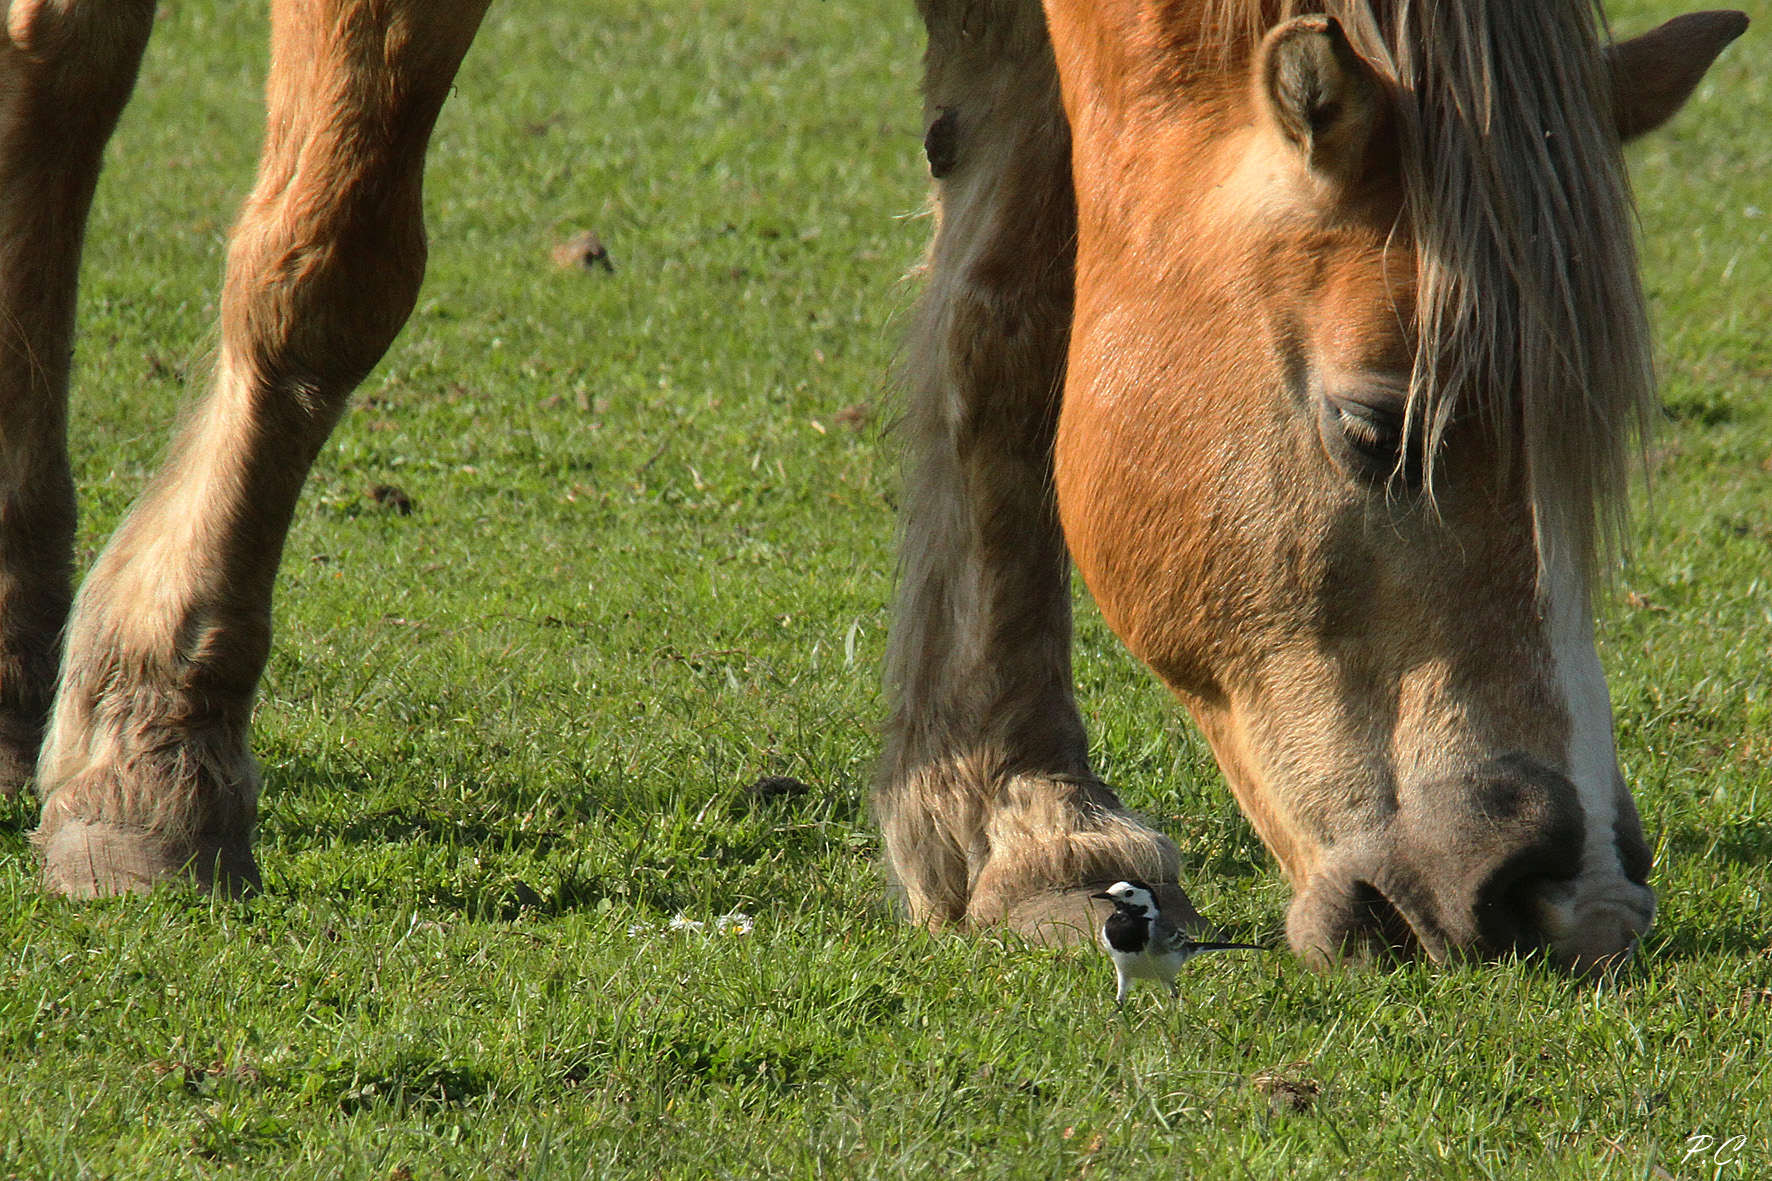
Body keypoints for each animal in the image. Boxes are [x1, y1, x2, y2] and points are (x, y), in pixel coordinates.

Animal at [0, 0, 1742, 973]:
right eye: (1377, 425)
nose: (1558, 891)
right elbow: (331, 255)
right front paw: (152, 754)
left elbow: (1019, 313)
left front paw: (1018, 814)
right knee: (66, 65)